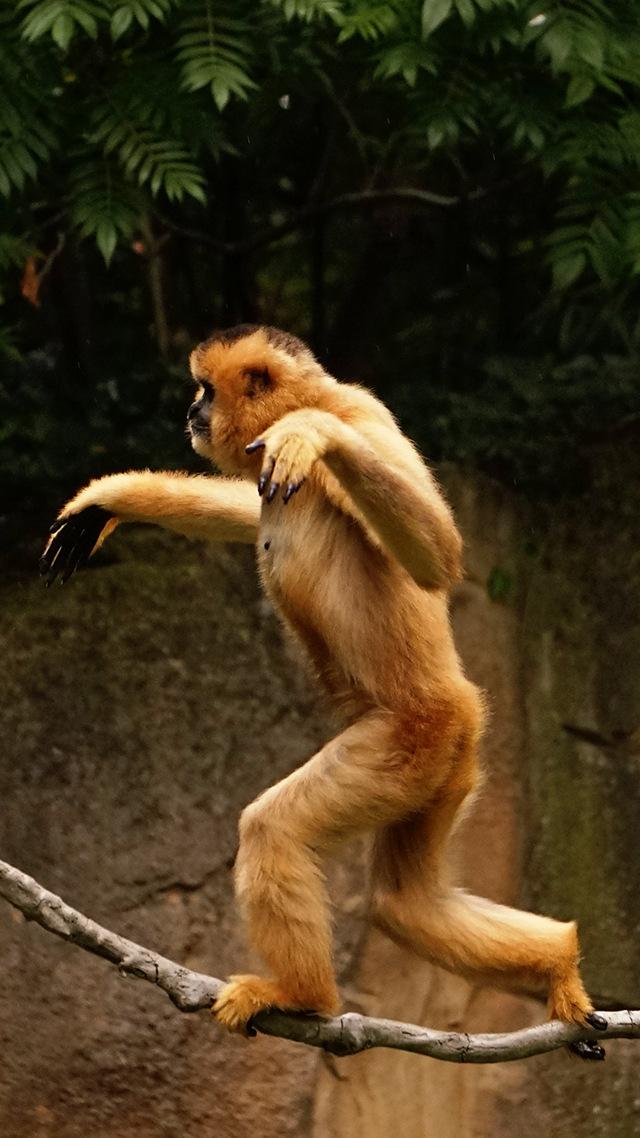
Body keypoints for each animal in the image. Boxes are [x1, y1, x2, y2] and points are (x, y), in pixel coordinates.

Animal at [40, 324, 606, 1055]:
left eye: (204, 391)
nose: (190, 411)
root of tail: (454, 706)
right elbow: (249, 506)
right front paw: (111, 500)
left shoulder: (363, 416)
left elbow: (438, 553)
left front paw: (316, 436)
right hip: (444, 764)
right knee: (405, 905)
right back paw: (558, 962)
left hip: (402, 746)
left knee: (275, 833)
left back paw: (304, 996)